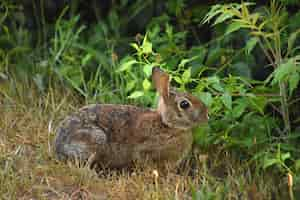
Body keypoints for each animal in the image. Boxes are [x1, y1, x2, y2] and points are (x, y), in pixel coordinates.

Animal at [54, 67, 209, 169]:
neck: (167, 125)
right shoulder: (145, 150)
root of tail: (59, 148)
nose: (207, 115)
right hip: (95, 139)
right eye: (184, 104)